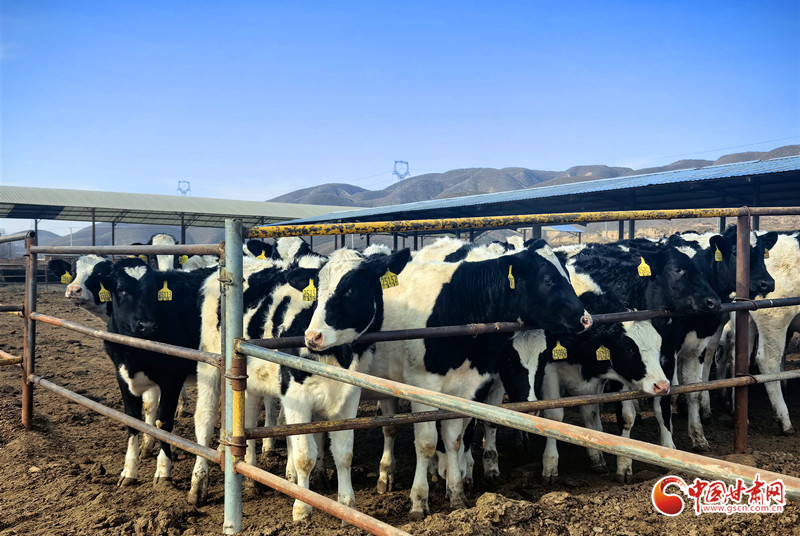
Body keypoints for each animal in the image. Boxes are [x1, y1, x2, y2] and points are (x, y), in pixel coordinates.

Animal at [302, 240, 591, 519]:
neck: (459, 304)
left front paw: (456, 494)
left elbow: (455, 438)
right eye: (549, 279)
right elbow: (427, 443)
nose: (586, 318)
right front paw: (419, 500)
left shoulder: (465, 386)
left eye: (567, 275)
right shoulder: (423, 386)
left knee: (387, 427)